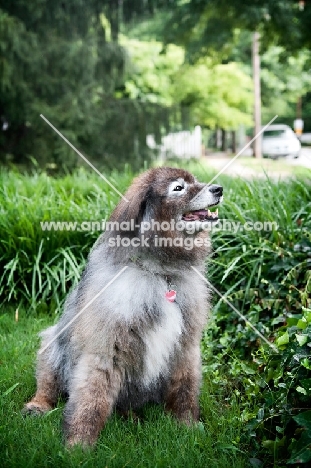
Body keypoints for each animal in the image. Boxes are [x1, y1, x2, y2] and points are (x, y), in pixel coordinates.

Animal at [25, 167, 224, 446]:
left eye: (195, 181)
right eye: (178, 188)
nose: (219, 189)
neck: (160, 273)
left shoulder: (186, 347)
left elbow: (184, 390)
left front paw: (188, 428)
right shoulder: (105, 347)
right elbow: (92, 398)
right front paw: (79, 444)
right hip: (53, 342)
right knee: (47, 385)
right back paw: (38, 406)